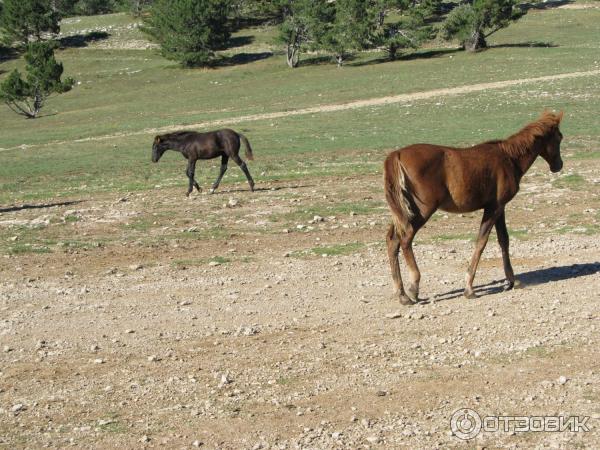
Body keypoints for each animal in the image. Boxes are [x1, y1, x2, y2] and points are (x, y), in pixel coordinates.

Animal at [384, 110, 564, 304]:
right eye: (559, 137)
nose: (558, 165)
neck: (509, 158)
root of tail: (397, 154)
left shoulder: (500, 208)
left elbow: (503, 240)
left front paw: (512, 280)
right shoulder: (493, 208)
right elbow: (481, 242)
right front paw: (469, 288)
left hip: (404, 211)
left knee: (392, 240)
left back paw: (401, 293)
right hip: (421, 211)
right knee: (405, 239)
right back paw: (413, 287)